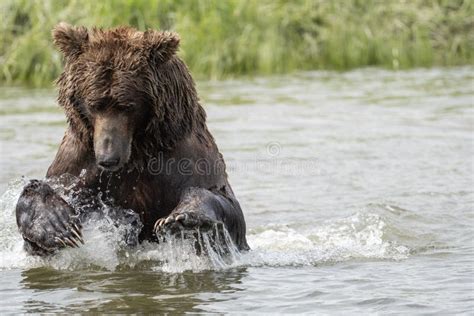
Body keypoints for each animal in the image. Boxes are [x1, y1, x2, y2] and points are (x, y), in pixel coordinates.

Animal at [14, 23, 250, 256]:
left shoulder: (182, 159)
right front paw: (56, 224)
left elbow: (223, 202)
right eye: (93, 104)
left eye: (127, 106)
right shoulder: (80, 161)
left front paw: (181, 218)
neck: (137, 150)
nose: (108, 158)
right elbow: (52, 192)